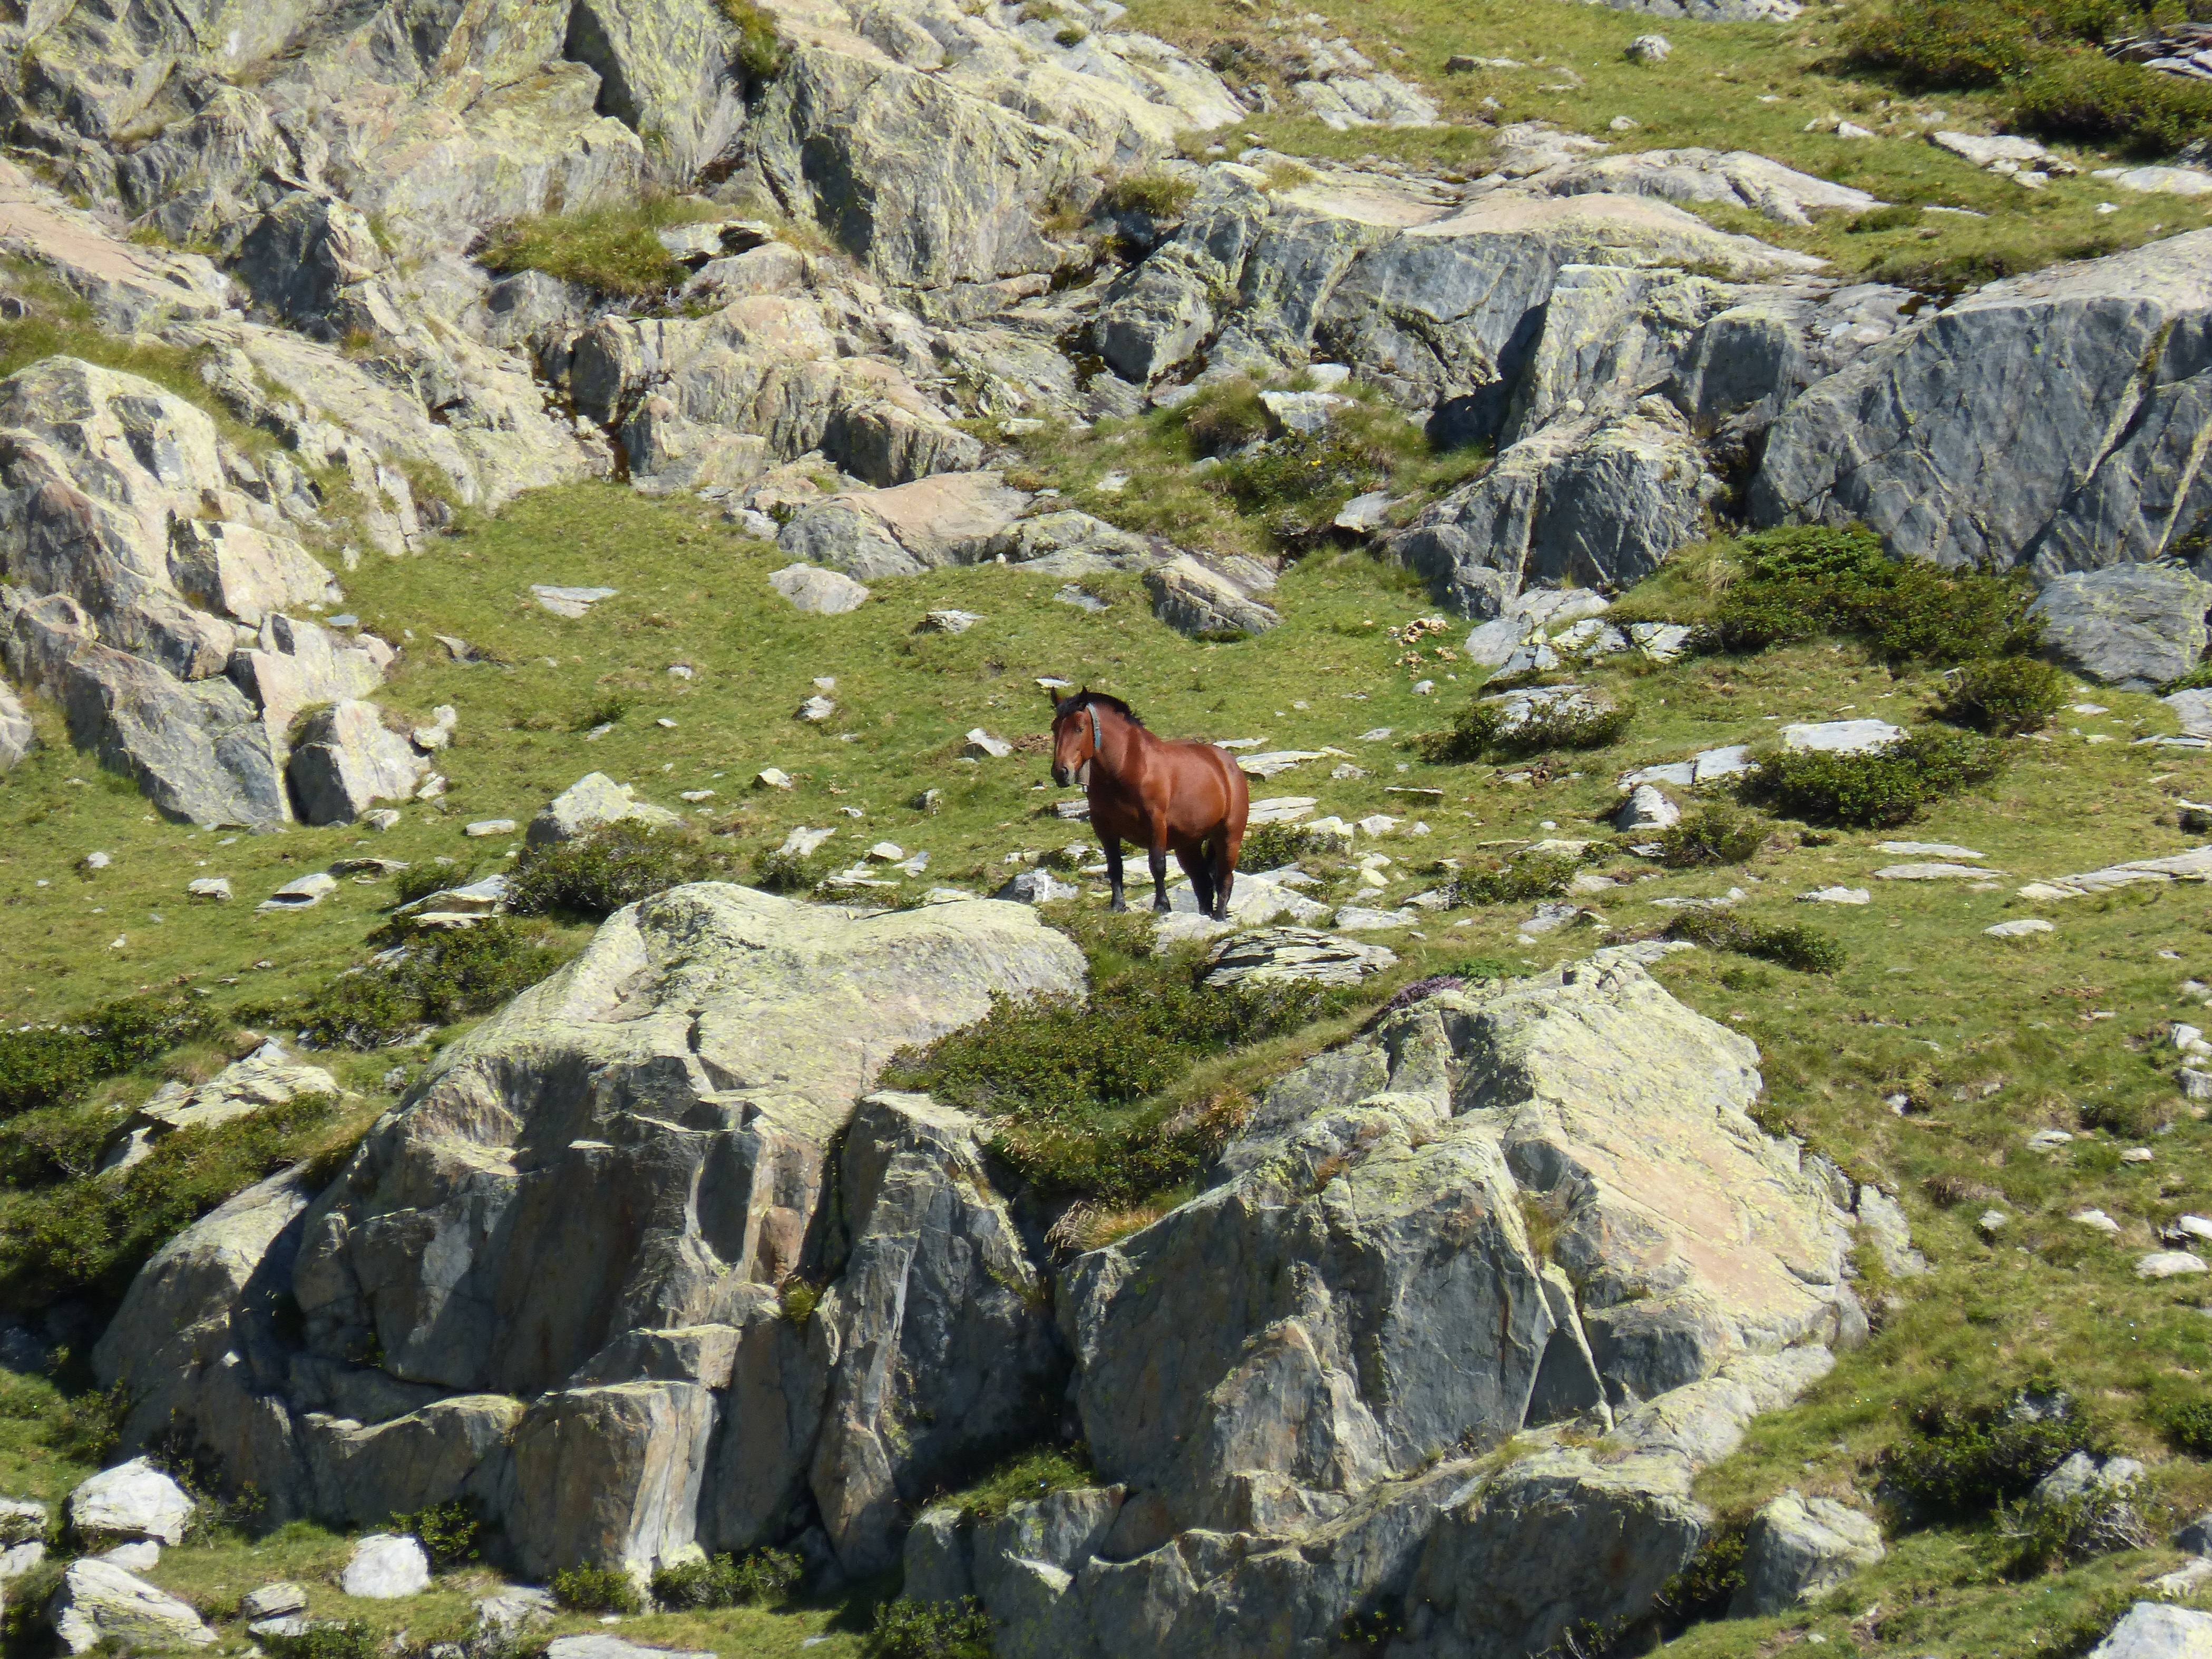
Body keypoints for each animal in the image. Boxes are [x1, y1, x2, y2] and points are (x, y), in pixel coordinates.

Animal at [1048, 690, 1256, 924]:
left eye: (1080, 728)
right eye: (1055, 727)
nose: (1061, 772)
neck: (1127, 767)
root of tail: (1228, 764)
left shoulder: (1156, 824)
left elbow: (1157, 865)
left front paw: (1162, 906)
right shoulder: (1104, 828)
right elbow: (1115, 867)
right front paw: (1118, 905)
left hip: (1229, 837)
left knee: (1224, 879)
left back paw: (1220, 917)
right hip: (1188, 846)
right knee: (1203, 884)